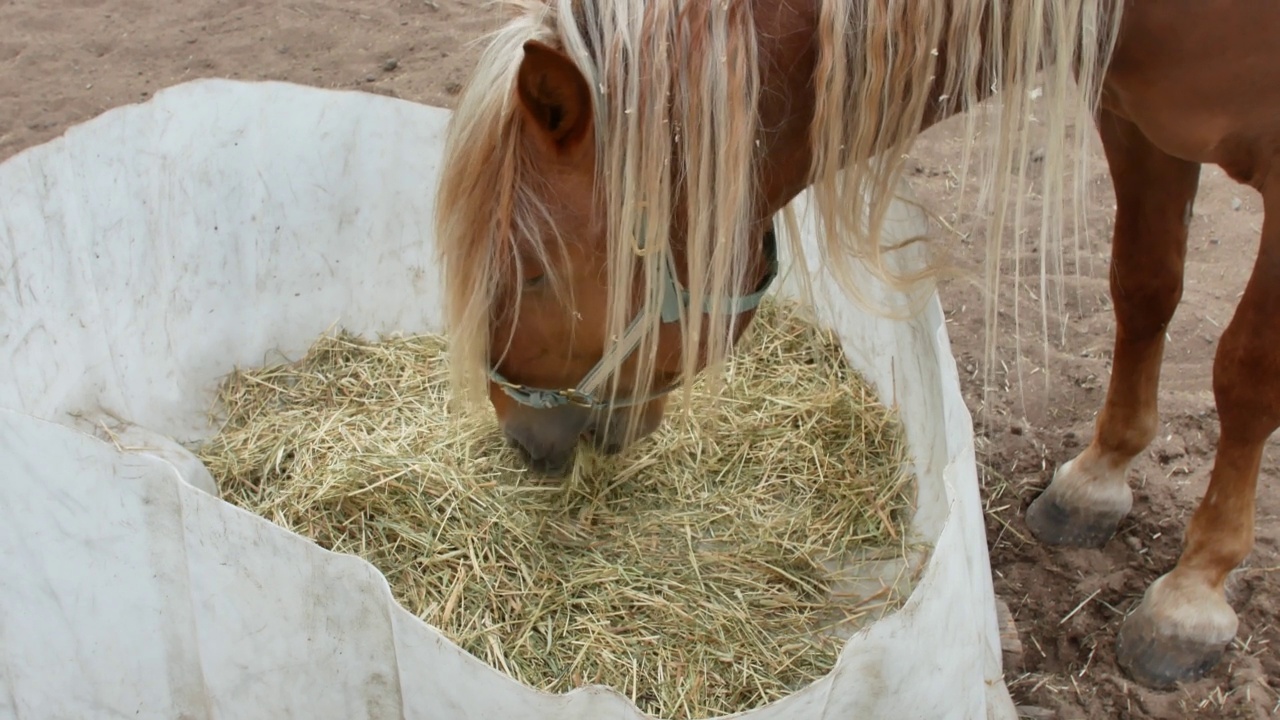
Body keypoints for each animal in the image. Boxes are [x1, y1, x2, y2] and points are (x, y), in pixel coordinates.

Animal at [437, 0, 1280, 691]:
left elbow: (1247, 372)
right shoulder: (1131, 117)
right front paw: (1098, 478)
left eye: (534, 273)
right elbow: (1142, 287)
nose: (520, 436)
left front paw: (1191, 598)